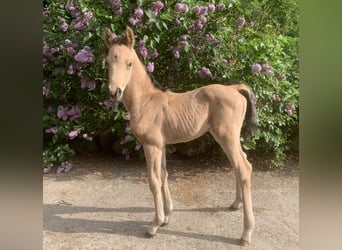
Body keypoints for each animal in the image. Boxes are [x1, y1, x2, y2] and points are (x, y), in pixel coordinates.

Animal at [103, 25, 256, 246]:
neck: (146, 102)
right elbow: (164, 175)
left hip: (226, 137)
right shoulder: (161, 145)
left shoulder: (151, 146)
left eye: (129, 63)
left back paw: (246, 233)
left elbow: (153, 180)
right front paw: (167, 216)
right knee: (240, 164)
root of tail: (235, 88)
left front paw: (154, 225)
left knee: (244, 168)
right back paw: (236, 204)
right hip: (229, 139)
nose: (114, 92)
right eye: (107, 62)